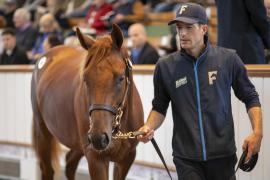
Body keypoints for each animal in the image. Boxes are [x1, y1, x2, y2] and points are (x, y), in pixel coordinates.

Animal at [30, 24, 144, 180]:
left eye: (121, 78)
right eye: (85, 79)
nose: (98, 138)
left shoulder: (126, 159)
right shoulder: (96, 159)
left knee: (70, 164)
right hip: (43, 133)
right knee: (48, 170)